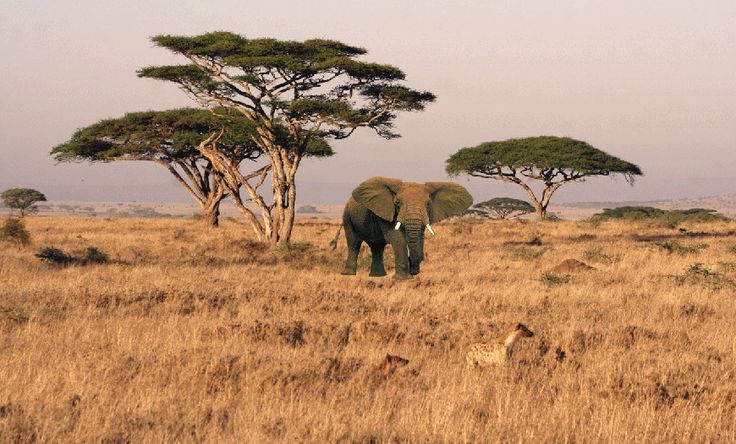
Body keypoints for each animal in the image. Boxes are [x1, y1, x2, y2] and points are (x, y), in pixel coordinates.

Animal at [342, 176, 474, 278]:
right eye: (397, 203)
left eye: (428, 204)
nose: (413, 270)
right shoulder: (387, 211)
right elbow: (397, 238)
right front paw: (403, 279)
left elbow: (419, 238)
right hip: (347, 216)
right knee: (354, 243)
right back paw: (348, 275)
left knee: (377, 247)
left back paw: (377, 276)